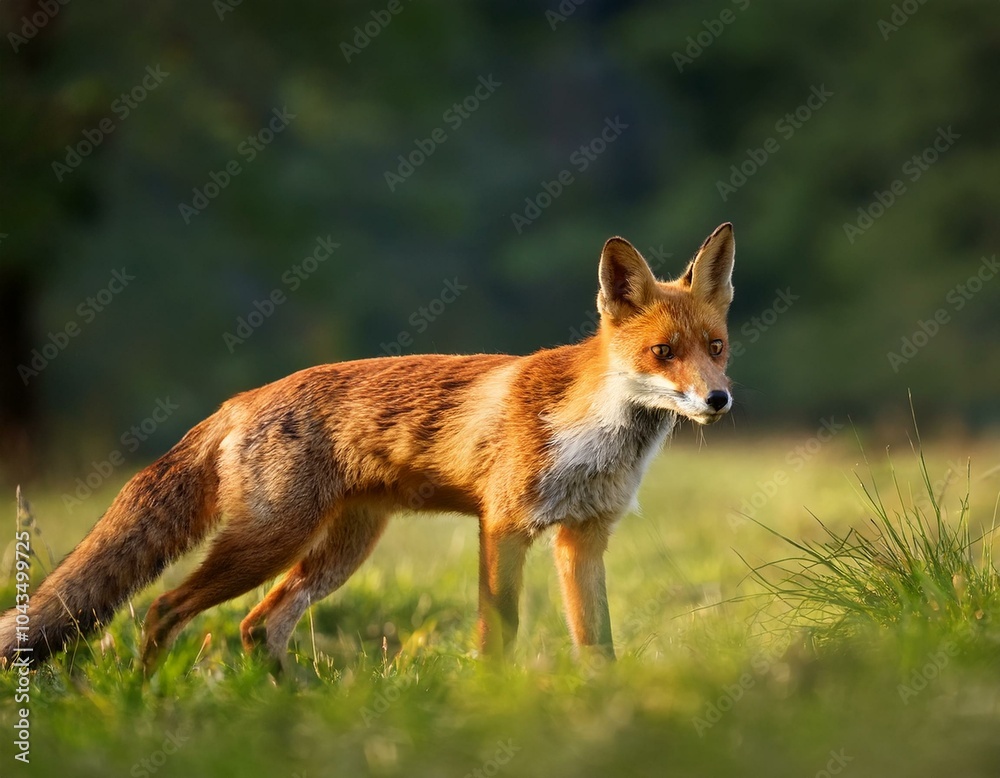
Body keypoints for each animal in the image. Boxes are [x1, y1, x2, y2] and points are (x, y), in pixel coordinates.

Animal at [0, 223, 735, 673]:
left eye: (716, 347)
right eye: (662, 353)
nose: (718, 400)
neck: (594, 436)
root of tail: (240, 398)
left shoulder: (582, 538)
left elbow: (597, 647)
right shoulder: (503, 527)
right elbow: (497, 637)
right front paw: (496, 705)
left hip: (339, 551)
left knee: (258, 626)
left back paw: (291, 709)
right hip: (267, 544)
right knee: (163, 610)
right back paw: (148, 700)